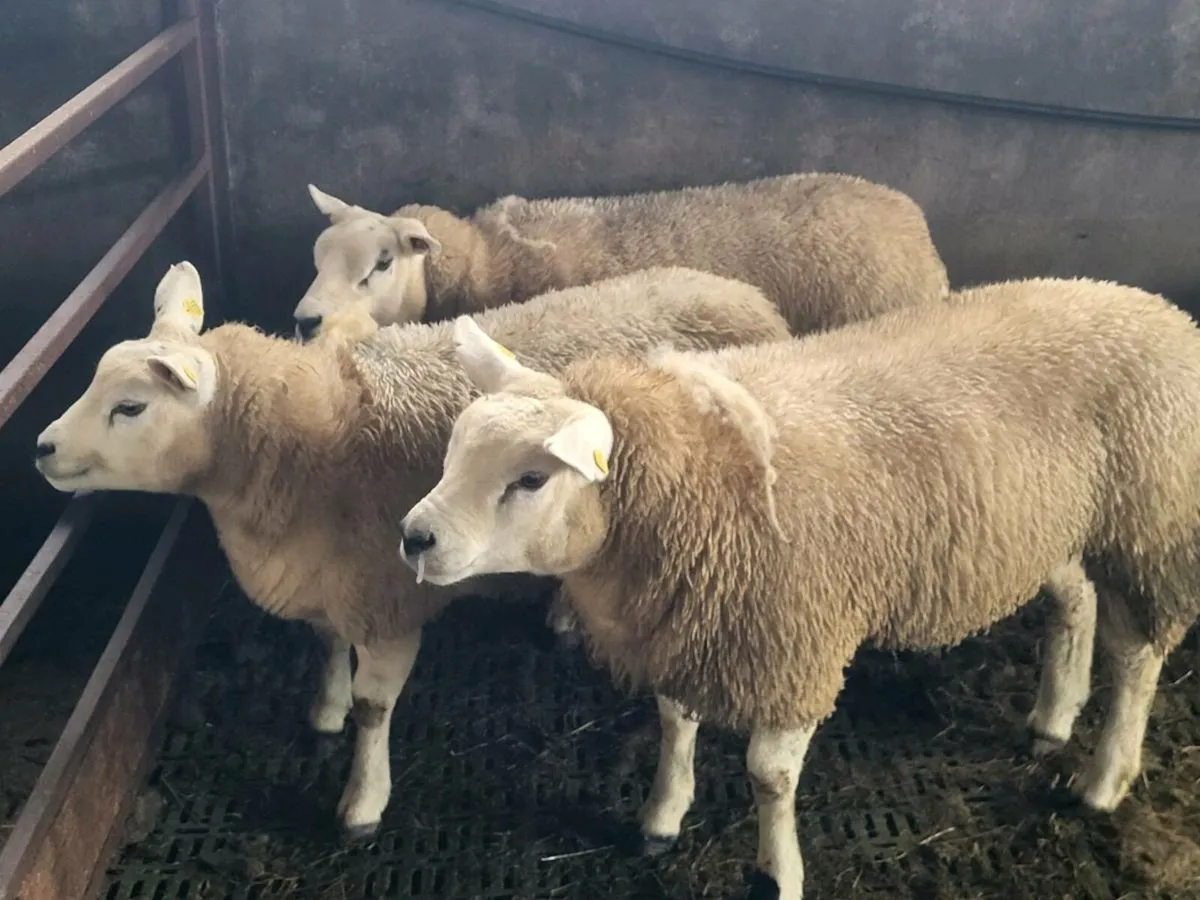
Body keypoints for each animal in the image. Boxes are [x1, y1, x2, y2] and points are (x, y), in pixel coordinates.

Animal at [33, 261, 793, 840]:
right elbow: (326, 644)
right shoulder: (332, 575)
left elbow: (376, 710)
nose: (41, 447)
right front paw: (326, 711)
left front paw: (362, 802)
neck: (308, 441)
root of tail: (740, 292)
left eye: (131, 407)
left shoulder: (387, 596)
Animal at [396, 278, 1200, 899]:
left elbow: (768, 775)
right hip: (1047, 522)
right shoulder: (689, 617)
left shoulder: (794, 635)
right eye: (456, 448)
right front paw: (662, 814)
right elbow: (674, 720)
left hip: (1149, 524)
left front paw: (776, 872)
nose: (414, 537)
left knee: (1136, 657)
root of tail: (1153, 307)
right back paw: (1053, 717)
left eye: (532, 479)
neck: (691, 477)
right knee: (1075, 600)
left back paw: (1104, 779)